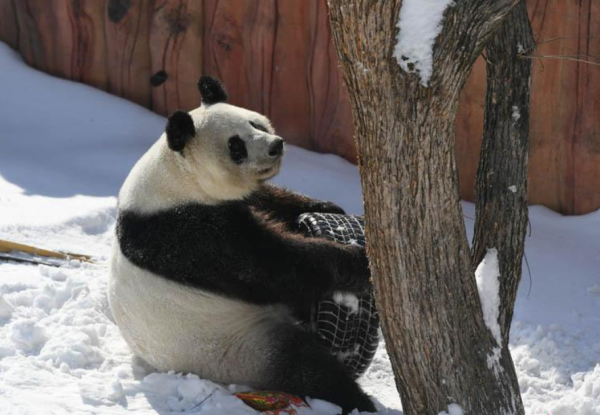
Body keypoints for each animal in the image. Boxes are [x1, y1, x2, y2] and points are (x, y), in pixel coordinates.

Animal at [109, 77, 376, 412]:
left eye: (255, 122)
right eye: (236, 145)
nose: (276, 145)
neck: (177, 174)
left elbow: (268, 199)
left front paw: (327, 208)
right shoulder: (185, 233)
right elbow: (269, 266)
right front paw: (359, 261)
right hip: (236, 347)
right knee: (304, 366)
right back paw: (358, 400)